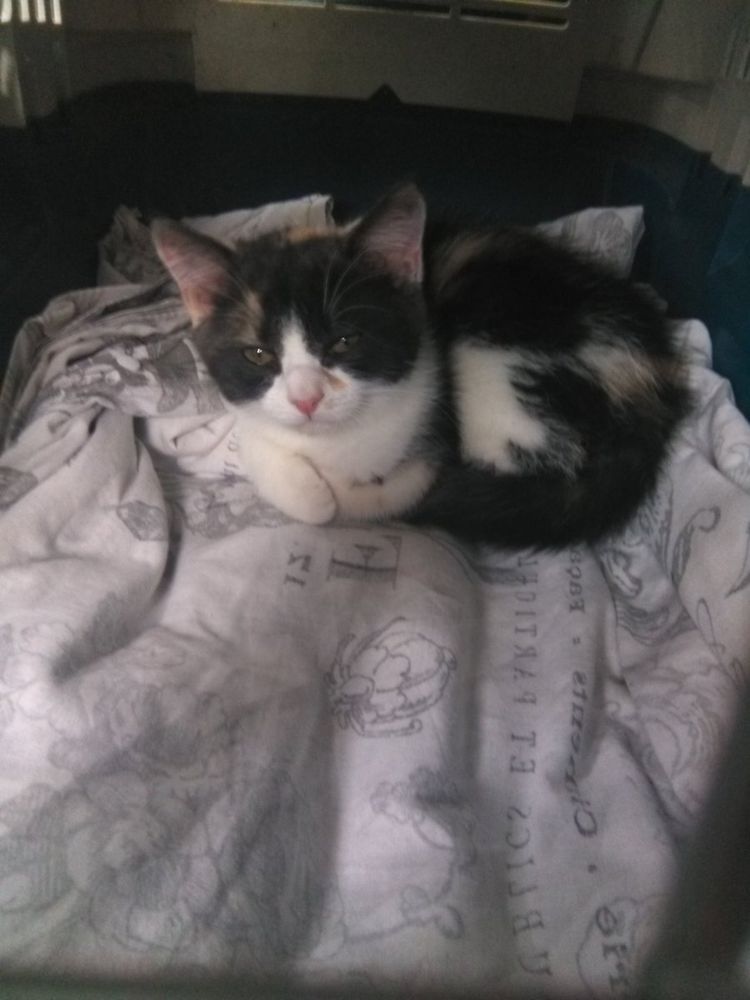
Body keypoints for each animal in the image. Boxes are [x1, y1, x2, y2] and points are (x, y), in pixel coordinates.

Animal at [152, 184, 690, 549]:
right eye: (258, 354)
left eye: (345, 340)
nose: (307, 398)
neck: (335, 443)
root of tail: (653, 370)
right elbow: (274, 462)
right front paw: (310, 488)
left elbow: (396, 491)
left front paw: (349, 496)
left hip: (496, 355)